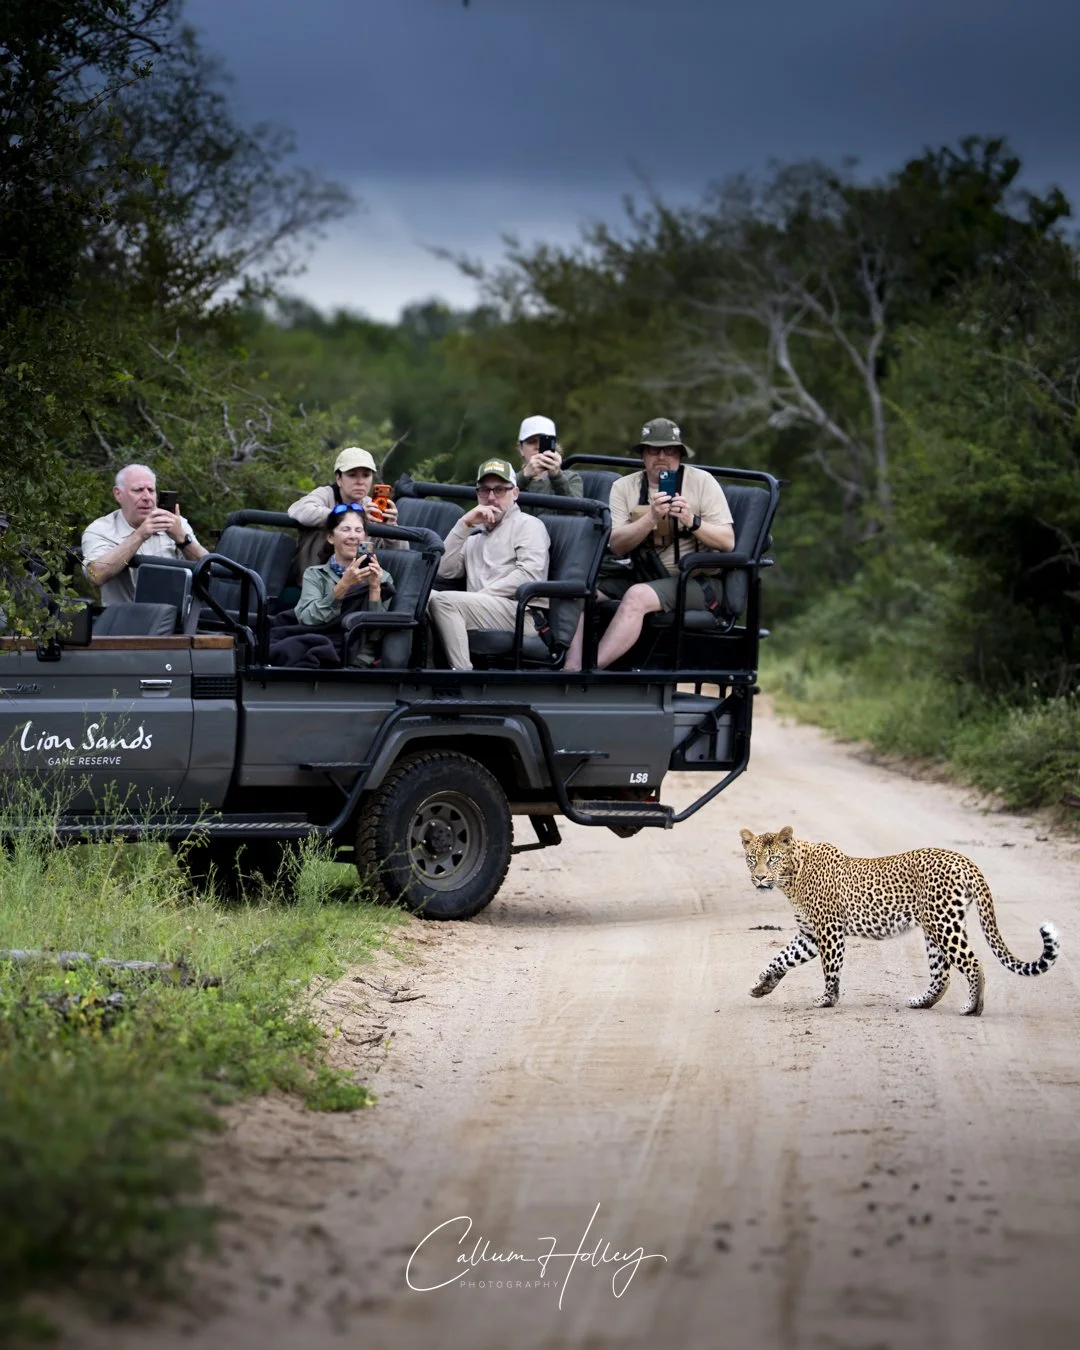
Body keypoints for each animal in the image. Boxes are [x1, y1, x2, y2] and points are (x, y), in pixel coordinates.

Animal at [739, 826, 1060, 1016]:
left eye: (774, 858)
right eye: (752, 858)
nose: (760, 878)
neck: (792, 877)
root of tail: (964, 860)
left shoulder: (829, 931)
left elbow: (830, 968)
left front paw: (827, 1000)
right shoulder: (809, 935)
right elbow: (781, 957)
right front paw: (762, 985)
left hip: (943, 924)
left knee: (972, 963)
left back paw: (972, 1007)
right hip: (935, 927)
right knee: (941, 975)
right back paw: (921, 1002)